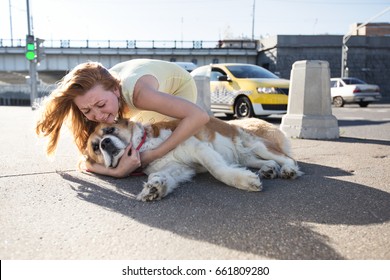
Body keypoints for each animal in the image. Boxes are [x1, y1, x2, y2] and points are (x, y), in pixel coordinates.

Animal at [85, 116, 302, 201]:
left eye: (109, 130)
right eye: (95, 147)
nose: (105, 143)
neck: (145, 145)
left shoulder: (199, 149)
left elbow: (218, 170)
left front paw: (245, 181)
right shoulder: (179, 167)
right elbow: (164, 176)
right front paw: (155, 187)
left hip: (257, 145)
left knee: (287, 158)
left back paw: (288, 170)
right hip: (246, 157)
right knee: (266, 162)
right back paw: (269, 169)